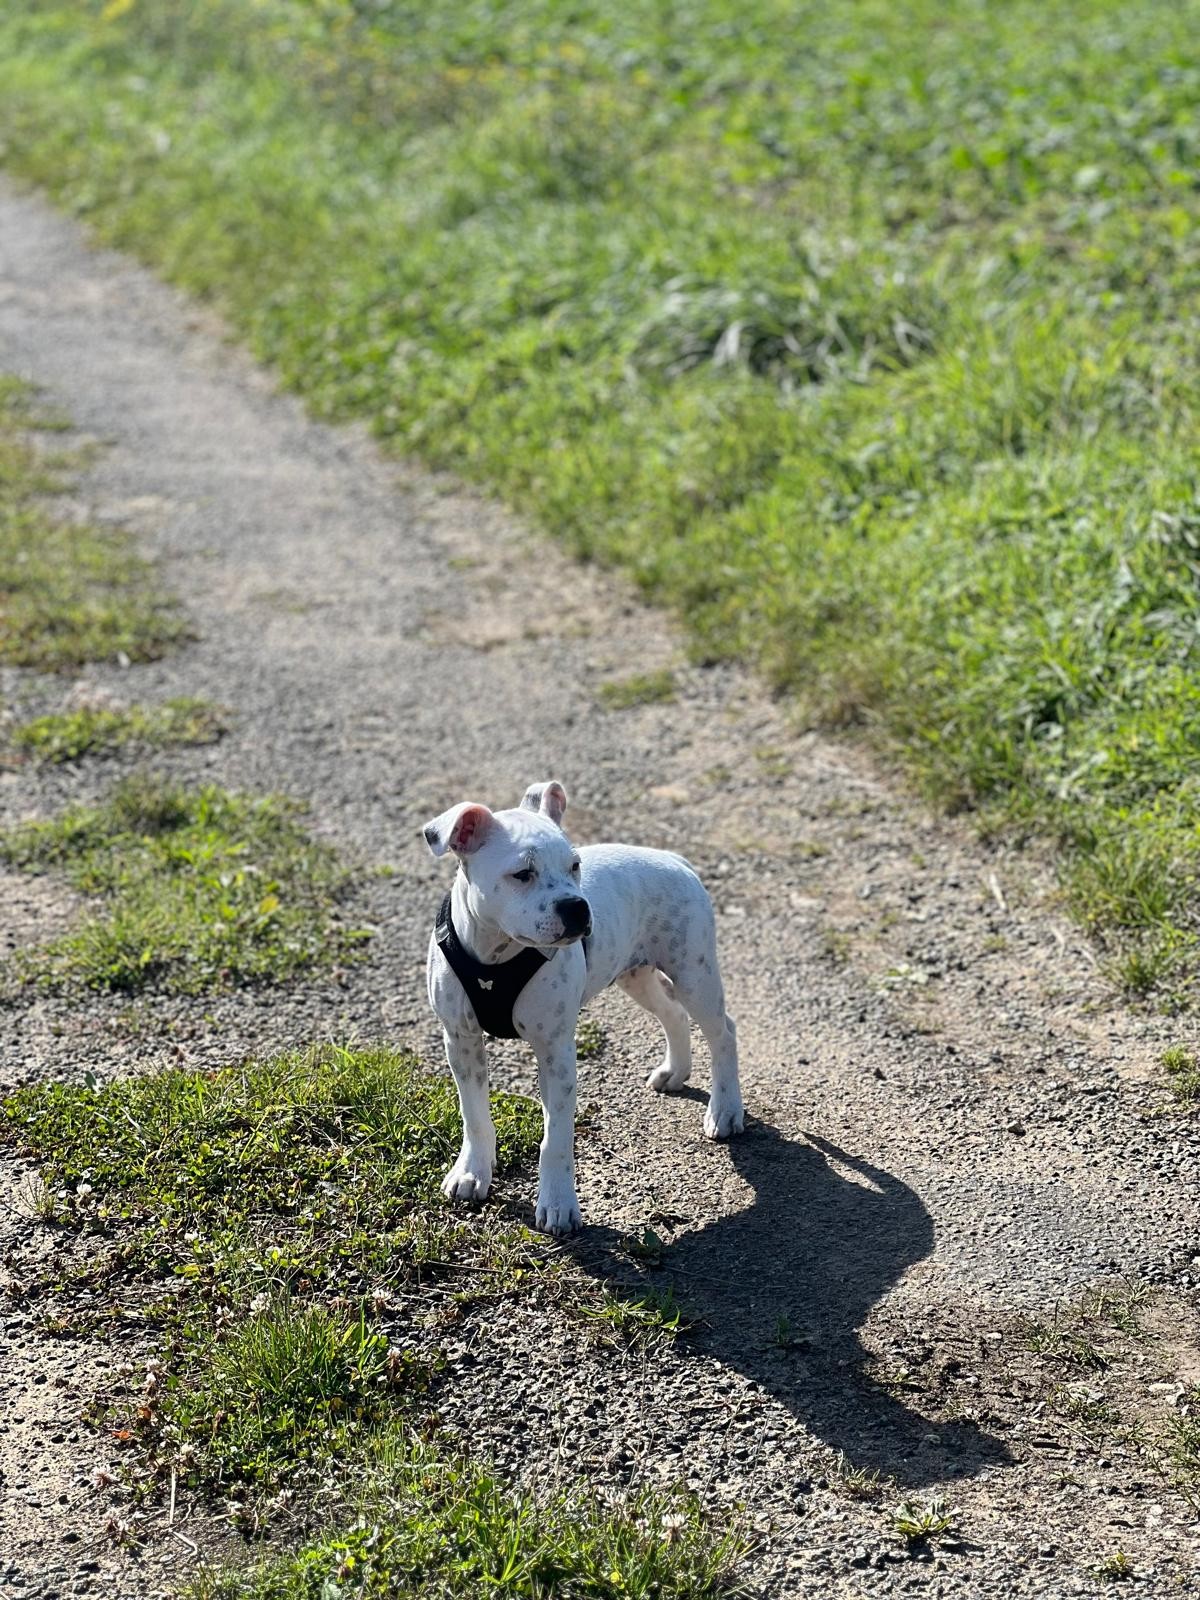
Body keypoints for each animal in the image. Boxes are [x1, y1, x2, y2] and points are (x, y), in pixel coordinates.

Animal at [422, 784, 742, 1235]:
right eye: (522, 874)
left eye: (575, 865)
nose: (576, 907)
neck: (496, 951)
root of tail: (674, 860)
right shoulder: (461, 1041)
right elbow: (474, 1115)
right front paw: (472, 1172)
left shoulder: (556, 1051)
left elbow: (555, 1137)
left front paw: (558, 1205)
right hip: (635, 974)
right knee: (673, 1014)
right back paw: (674, 1072)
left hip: (695, 974)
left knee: (723, 1032)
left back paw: (726, 1110)